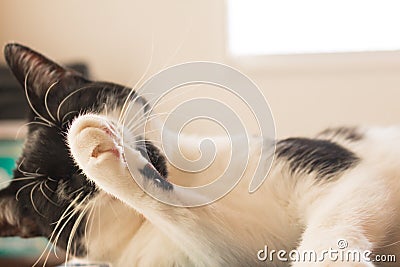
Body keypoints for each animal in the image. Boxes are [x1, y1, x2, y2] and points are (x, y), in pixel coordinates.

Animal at [0, 43, 400, 266]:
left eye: (70, 117)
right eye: (55, 190)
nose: (76, 170)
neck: (193, 179)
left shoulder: (337, 169)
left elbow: (333, 222)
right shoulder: (224, 250)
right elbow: (189, 219)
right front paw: (99, 155)